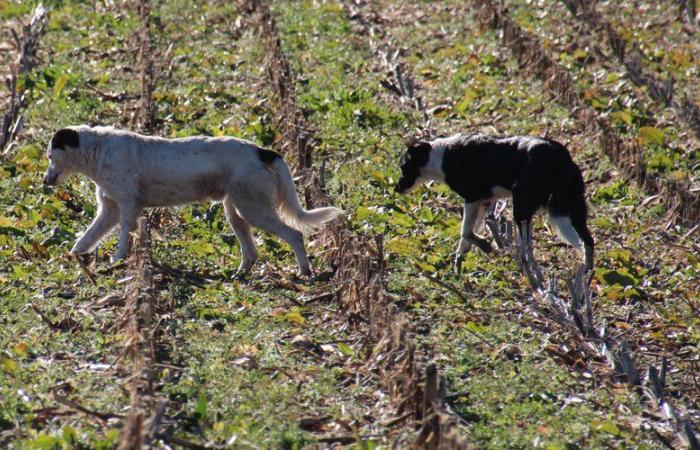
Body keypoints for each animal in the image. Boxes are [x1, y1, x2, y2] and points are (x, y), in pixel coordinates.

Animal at [42, 125, 344, 276]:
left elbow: (122, 237)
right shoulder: (109, 210)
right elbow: (86, 238)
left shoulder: (126, 206)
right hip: (236, 212)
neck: (98, 150)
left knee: (294, 234)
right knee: (251, 252)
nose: (45, 180)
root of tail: (261, 150)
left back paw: (304, 271)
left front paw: (117, 261)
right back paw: (239, 274)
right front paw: (74, 257)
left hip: (254, 209)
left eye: (50, 155)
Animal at [396, 135, 592, 272]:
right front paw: (459, 262)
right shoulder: (484, 201)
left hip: (521, 207)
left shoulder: (472, 198)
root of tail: (561, 157)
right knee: (588, 241)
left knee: (527, 246)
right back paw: (587, 272)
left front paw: (485, 246)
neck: (441, 156)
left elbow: (466, 231)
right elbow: (467, 235)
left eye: (404, 167)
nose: (396, 188)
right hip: (574, 208)